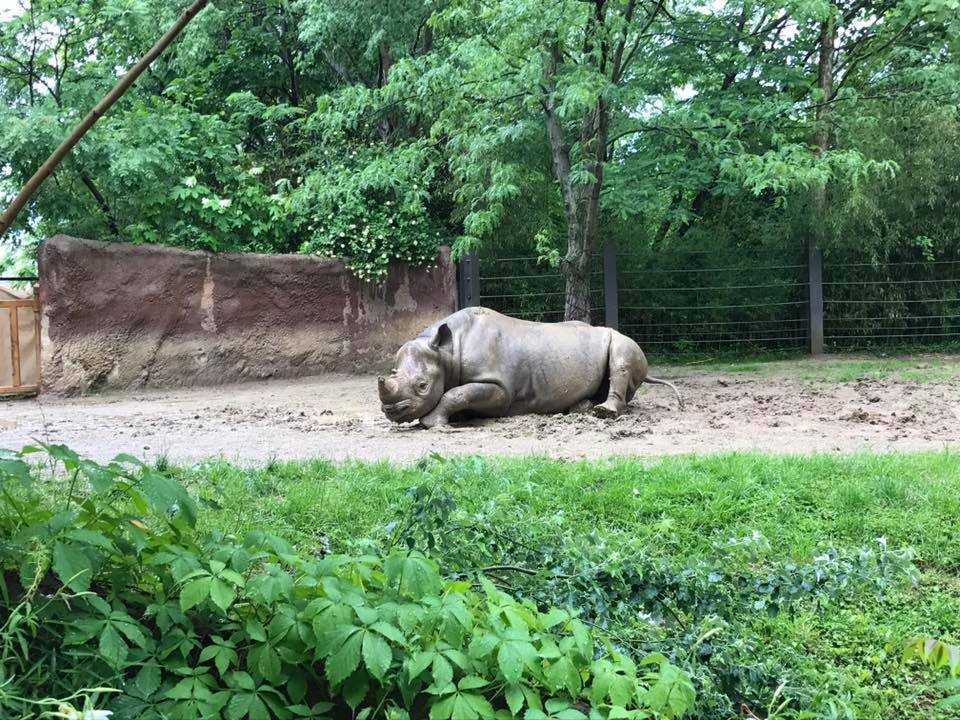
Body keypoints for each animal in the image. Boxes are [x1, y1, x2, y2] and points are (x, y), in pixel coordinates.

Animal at [377, 307, 682, 428]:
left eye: (422, 386)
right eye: (392, 375)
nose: (392, 411)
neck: (446, 351)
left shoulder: (499, 389)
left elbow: (457, 393)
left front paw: (431, 424)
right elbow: (456, 394)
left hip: (625, 342)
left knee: (621, 357)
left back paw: (602, 413)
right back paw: (580, 408)